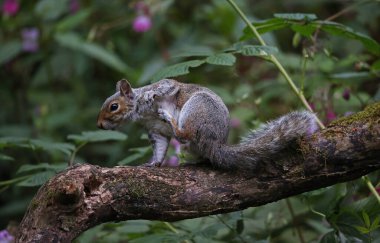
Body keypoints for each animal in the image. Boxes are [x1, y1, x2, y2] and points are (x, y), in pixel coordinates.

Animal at [97, 79, 318, 170]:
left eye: (113, 106)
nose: (99, 125)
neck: (142, 113)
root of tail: (215, 142)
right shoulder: (155, 131)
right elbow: (160, 148)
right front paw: (153, 164)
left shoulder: (167, 85)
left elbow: (165, 87)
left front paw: (153, 94)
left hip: (196, 108)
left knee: (184, 134)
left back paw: (169, 117)